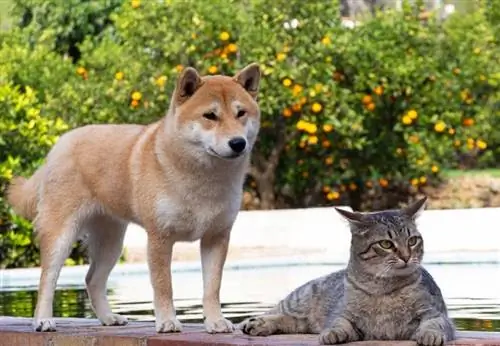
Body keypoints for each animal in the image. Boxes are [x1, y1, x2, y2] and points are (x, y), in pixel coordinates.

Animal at [6, 63, 262, 334]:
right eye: (210, 116)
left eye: (241, 113)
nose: (238, 143)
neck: (203, 178)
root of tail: (60, 143)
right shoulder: (160, 237)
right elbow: (163, 286)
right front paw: (167, 321)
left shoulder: (217, 237)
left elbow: (212, 287)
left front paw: (215, 321)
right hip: (61, 236)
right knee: (47, 279)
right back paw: (43, 320)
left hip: (111, 242)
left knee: (92, 279)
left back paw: (109, 318)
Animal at [240, 196, 456, 344]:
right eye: (386, 244)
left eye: (412, 241)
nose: (406, 256)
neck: (383, 289)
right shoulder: (342, 313)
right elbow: (339, 323)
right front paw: (332, 334)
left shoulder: (434, 313)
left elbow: (433, 324)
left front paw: (429, 335)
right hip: (298, 300)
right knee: (276, 312)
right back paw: (253, 323)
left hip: (301, 319)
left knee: (290, 321)